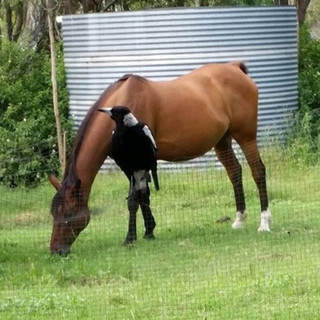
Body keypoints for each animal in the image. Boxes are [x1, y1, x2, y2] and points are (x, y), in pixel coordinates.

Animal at [48, 62, 272, 255]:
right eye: (53, 212)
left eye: (69, 213)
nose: (56, 250)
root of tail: (235, 67)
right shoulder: (130, 165)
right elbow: (142, 195)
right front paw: (149, 231)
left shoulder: (138, 162)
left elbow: (135, 199)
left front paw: (132, 237)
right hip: (222, 141)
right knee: (235, 172)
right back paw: (240, 219)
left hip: (246, 136)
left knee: (257, 171)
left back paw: (264, 223)